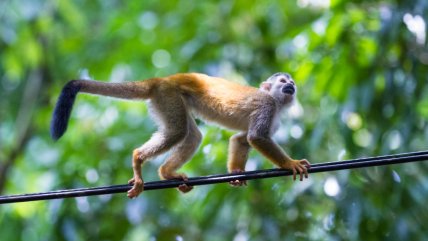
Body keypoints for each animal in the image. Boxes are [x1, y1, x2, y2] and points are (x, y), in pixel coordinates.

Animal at [50, 72, 310, 199]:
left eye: (291, 82)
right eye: (283, 81)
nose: (291, 86)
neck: (276, 102)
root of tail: (162, 79)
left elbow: (241, 139)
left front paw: (236, 173)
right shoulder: (267, 106)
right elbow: (256, 138)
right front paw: (291, 163)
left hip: (167, 100)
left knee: (191, 135)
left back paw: (167, 172)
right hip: (168, 95)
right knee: (178, 131)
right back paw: (138, 159)